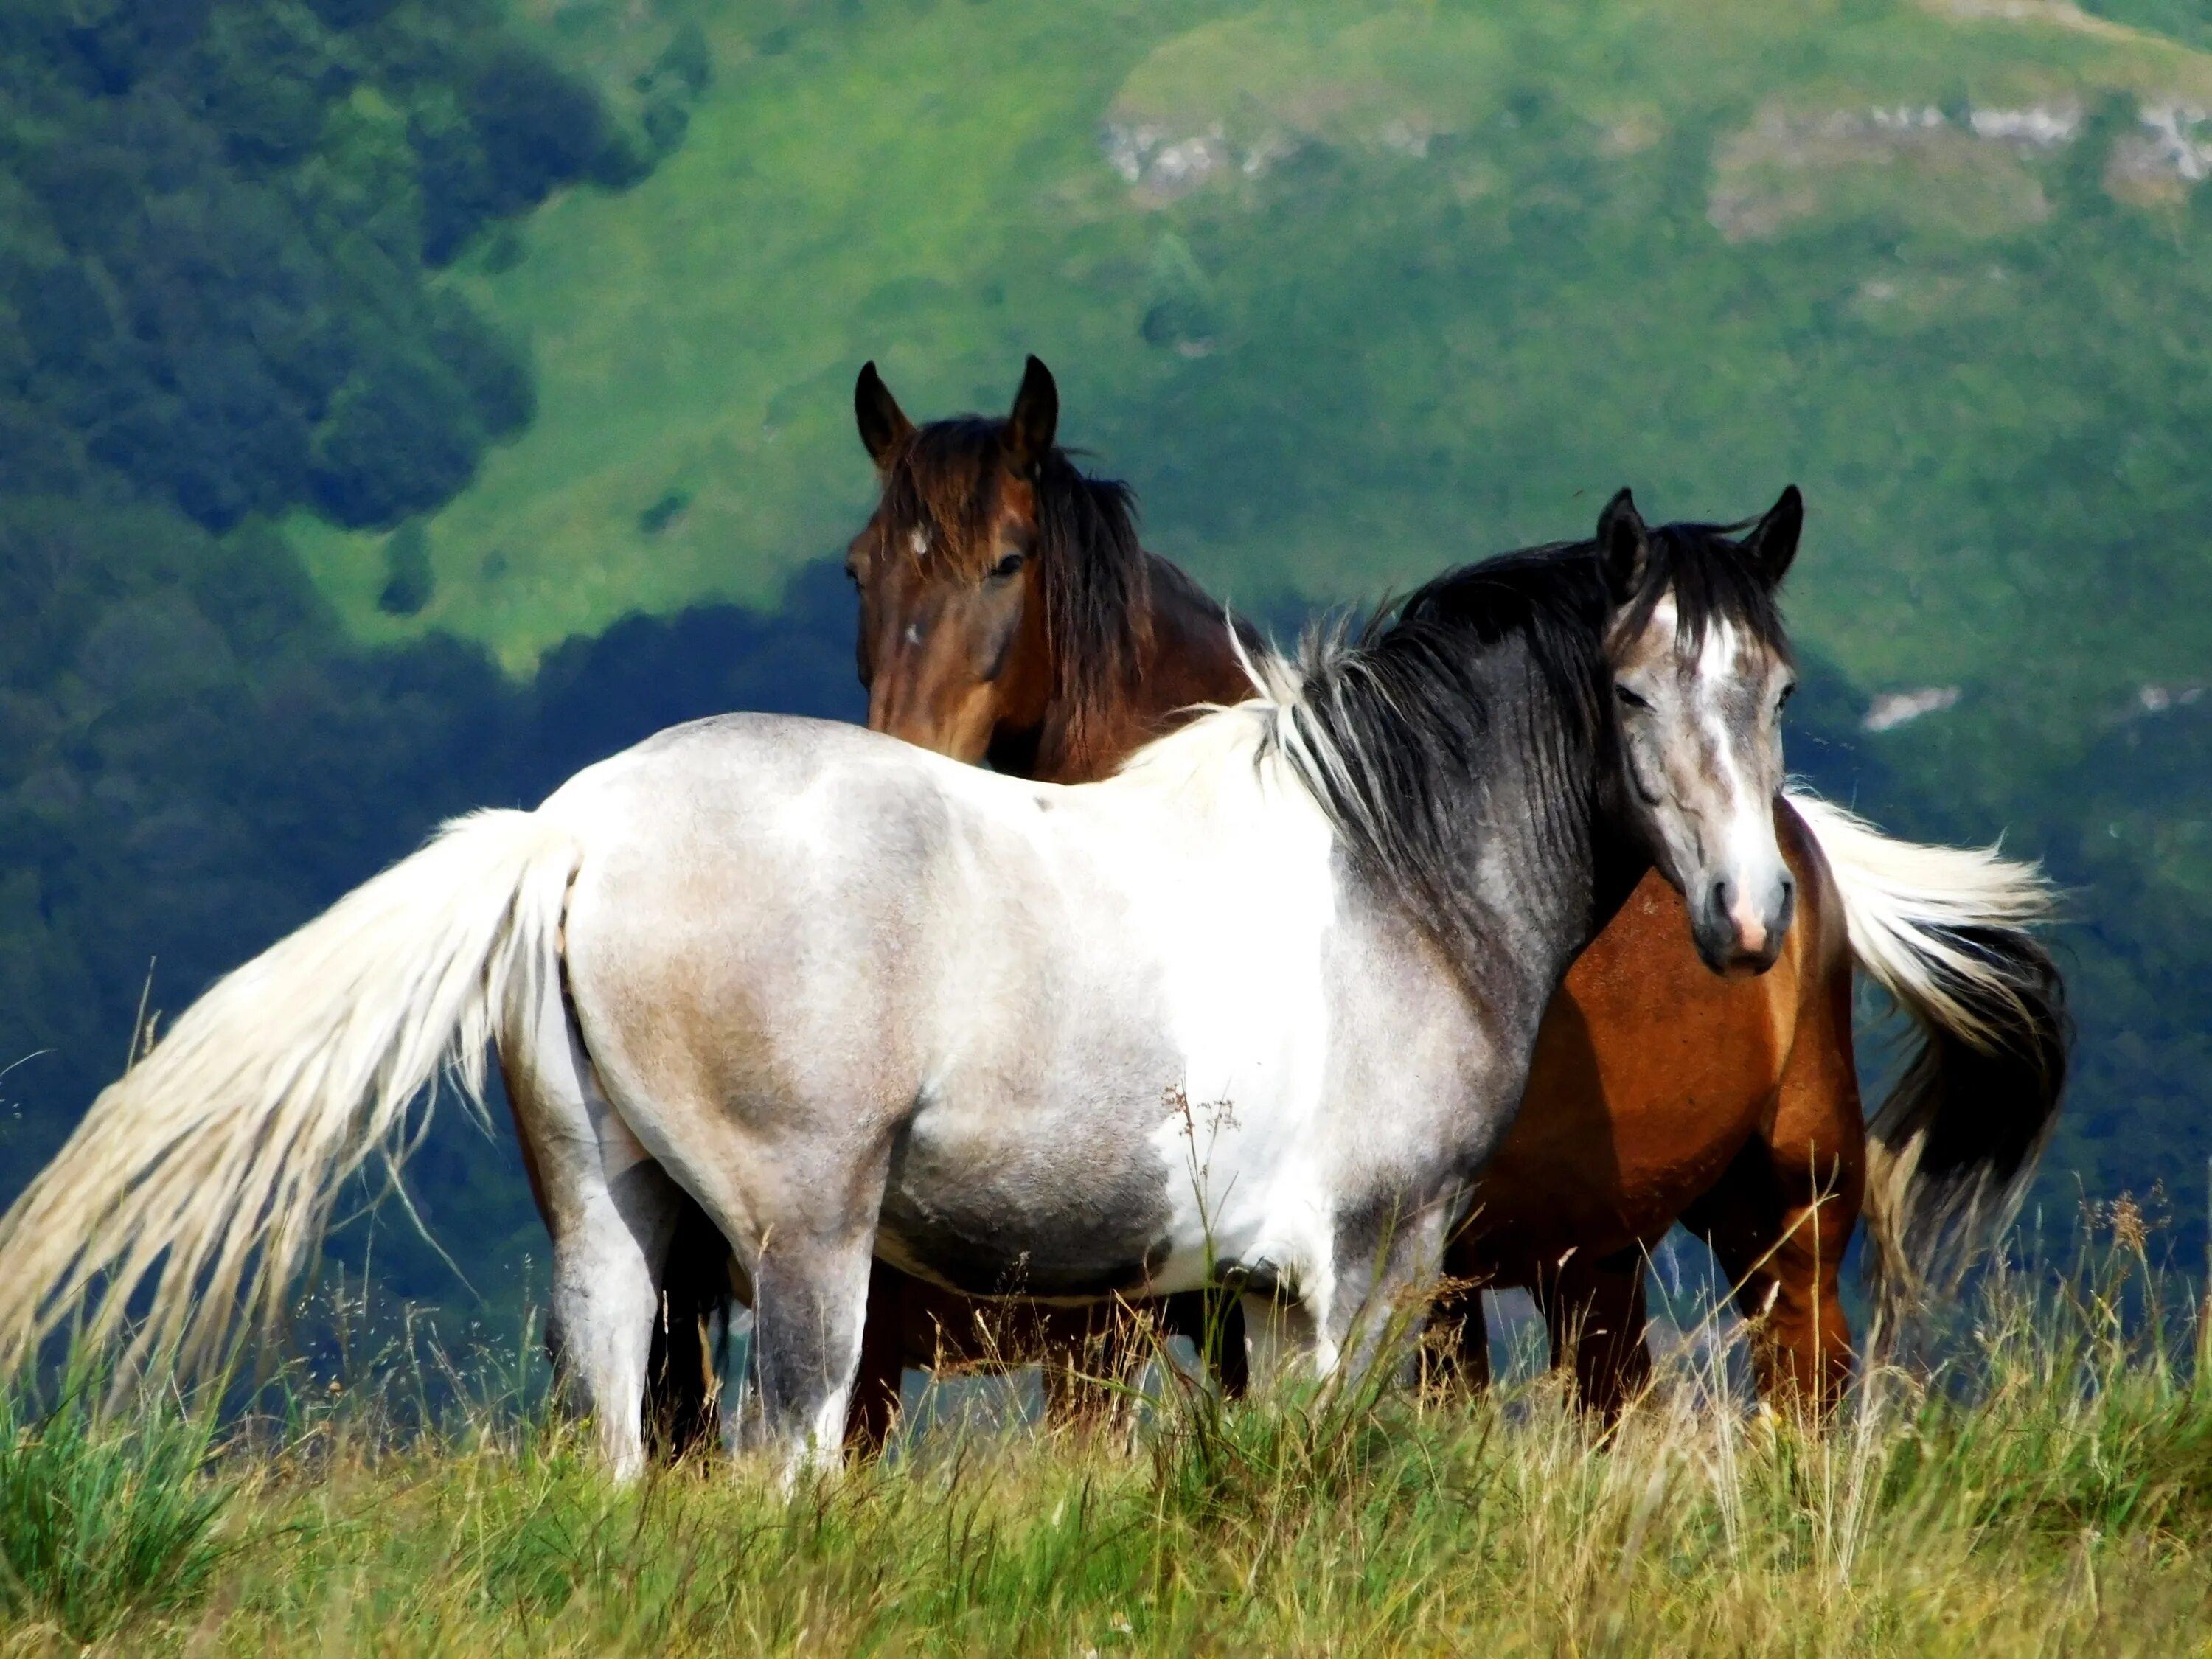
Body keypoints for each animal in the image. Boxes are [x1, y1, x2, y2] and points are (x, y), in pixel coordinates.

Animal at [0, 487, 1814, 1478]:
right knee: (790, 1458)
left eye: (1776, 686)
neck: (1389, 868)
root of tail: (572, 831)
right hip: (808, 1247)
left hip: (614, 1227)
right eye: (1631, 692)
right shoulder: (1359, 1272)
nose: (1751, 917)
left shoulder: (1254, 1295)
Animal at [836, 358, 2062, 1425]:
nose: (902, 754)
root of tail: (1805, 844)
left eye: (1006, 560)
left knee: (1804, 1380)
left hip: (1788, 1211)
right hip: (1598, 1257)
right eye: (859, 568)